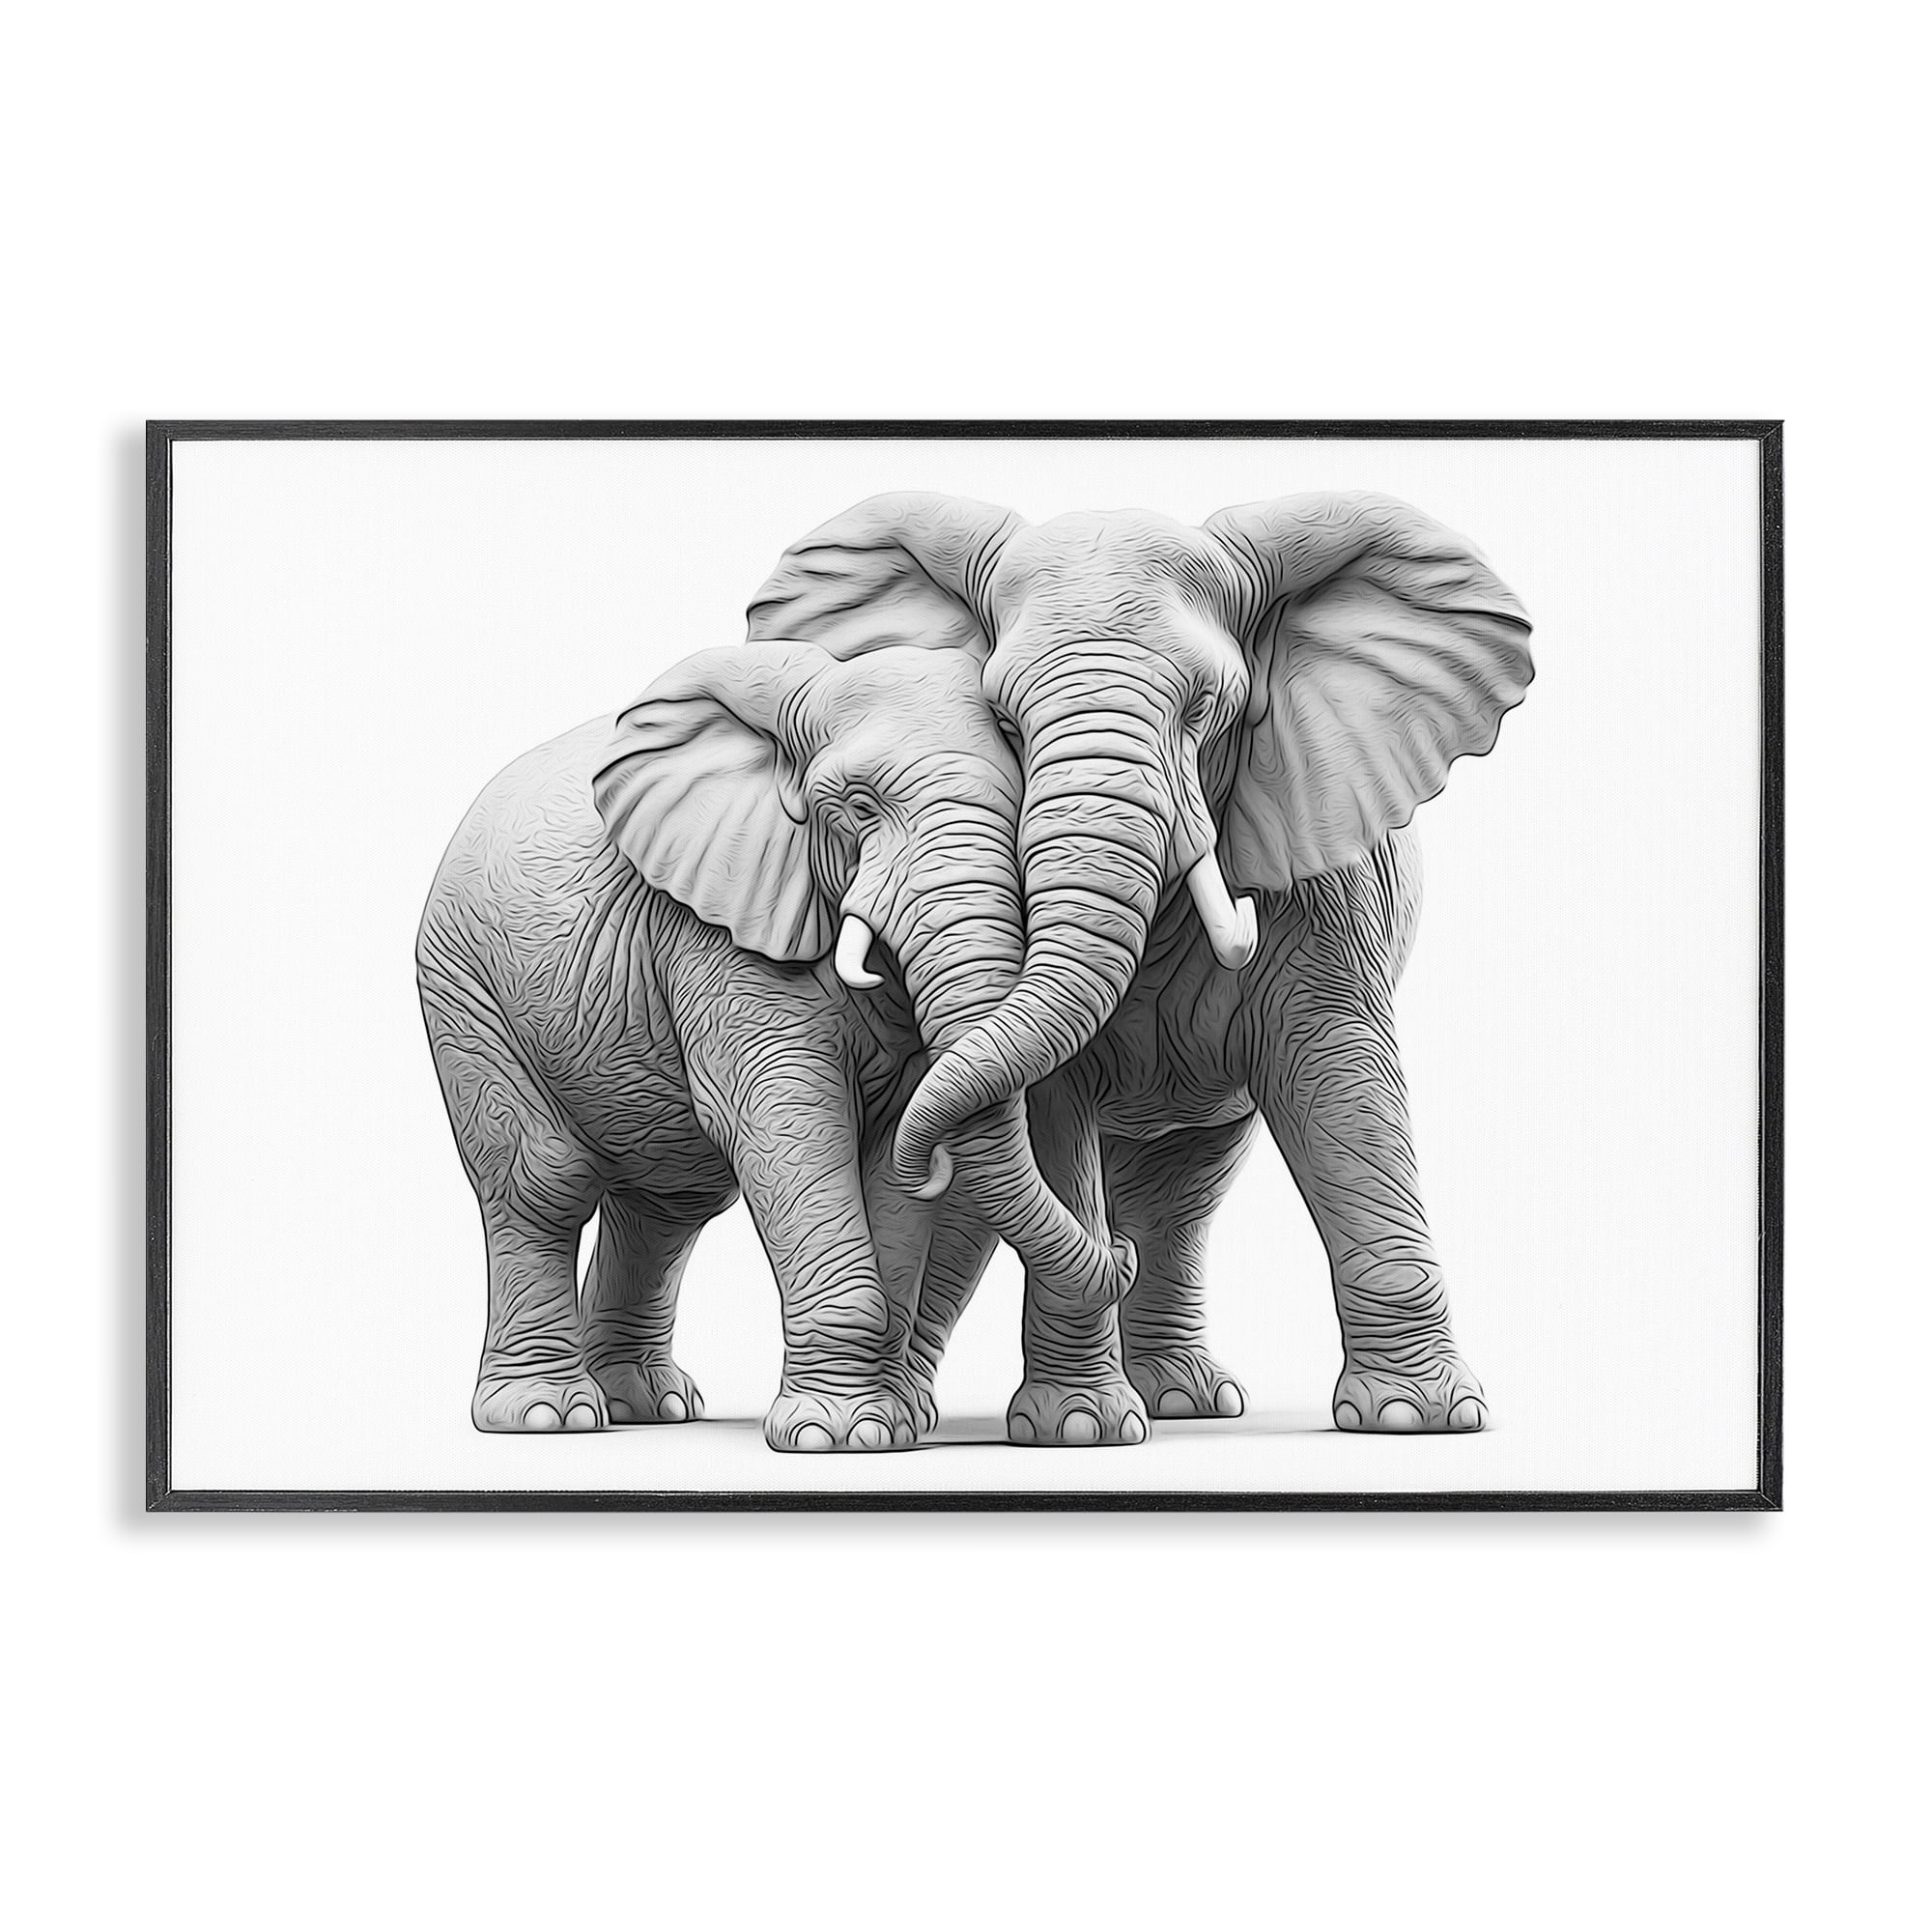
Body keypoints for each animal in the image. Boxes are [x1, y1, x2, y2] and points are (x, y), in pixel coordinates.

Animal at [416, 638, 1134, 1449]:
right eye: (857, 808)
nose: (1125, 1250)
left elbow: (890, 1153)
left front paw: (884, 1429)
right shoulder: (719, 928)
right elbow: (787, 1120)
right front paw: (838, 1436)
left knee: (668, 1203)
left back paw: (648, 1406)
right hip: (464, 983)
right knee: (541, 1181)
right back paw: (547, 1416)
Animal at [744, 489, 1533, 1441]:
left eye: (1207, 708)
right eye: (1003, 722)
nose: (1107, 1255)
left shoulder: (1327, 873)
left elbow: (1343, 1088)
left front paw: (1421, 1420)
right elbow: (1052, 1106)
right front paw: (1078, 1429)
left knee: (1183, 1192)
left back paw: (1186, 1400)